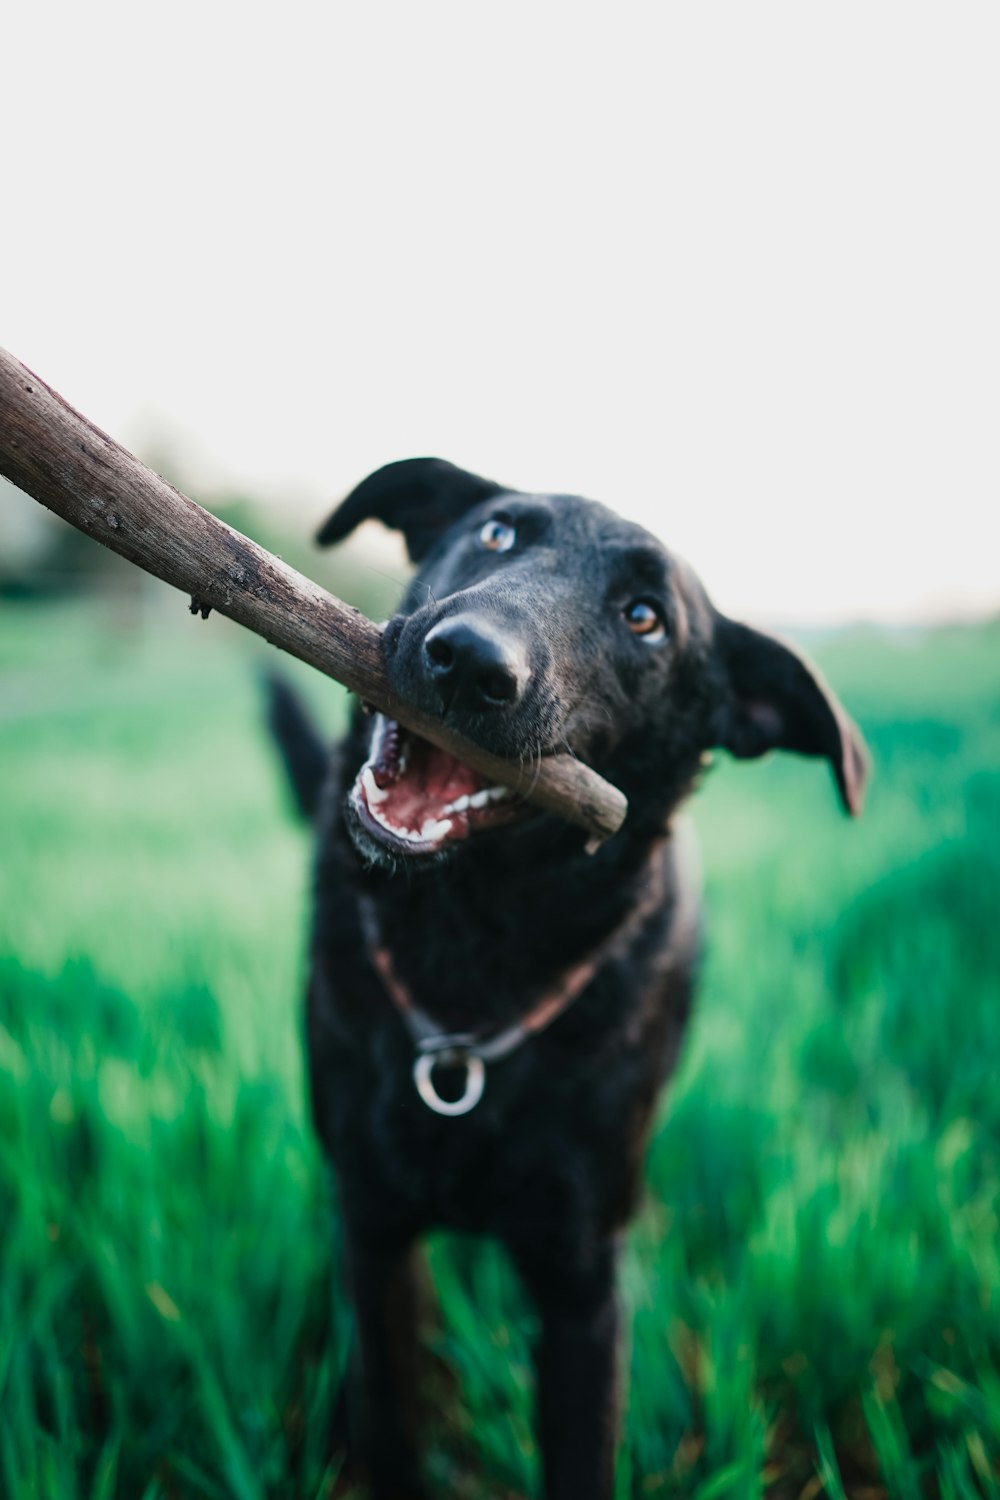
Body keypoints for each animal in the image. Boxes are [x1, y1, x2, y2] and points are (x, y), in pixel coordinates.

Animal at [271, 456, 869, 1500]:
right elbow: (392, 1418)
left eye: (645, 617)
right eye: (499, 533)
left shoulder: (582, 1280)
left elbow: (581, 1450)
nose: (470, 660)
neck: (470, 958)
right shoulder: (375, 1226)